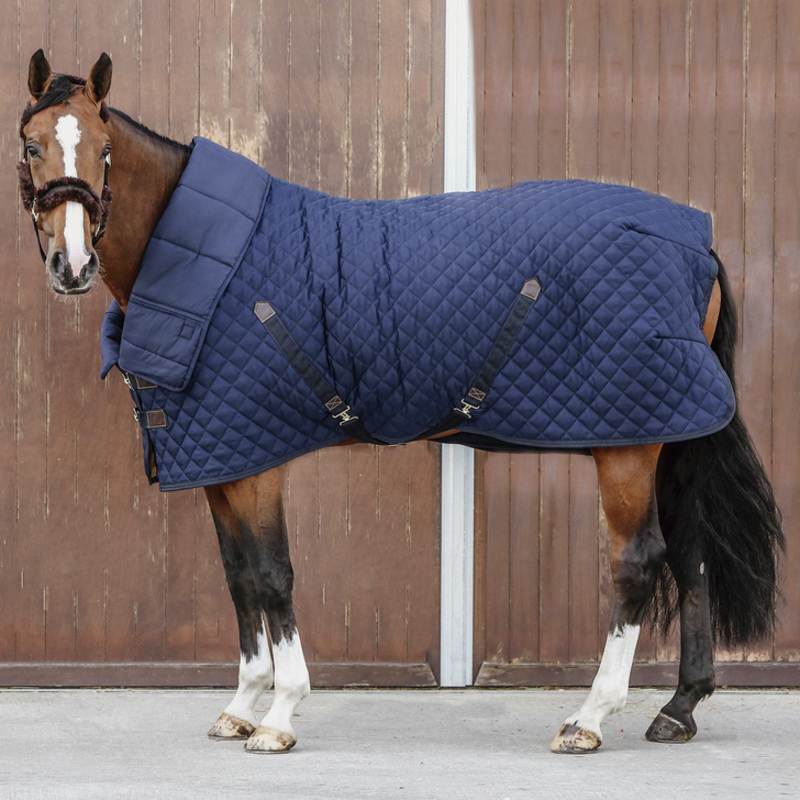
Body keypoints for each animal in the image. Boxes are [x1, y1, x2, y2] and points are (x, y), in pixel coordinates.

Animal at [17, 50, 782, 755]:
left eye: (104, 148)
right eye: (30, 143)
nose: (72, 266)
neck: (209, 265)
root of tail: (697, 244)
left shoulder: (258, 463)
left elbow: (272, 575)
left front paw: (280, 714)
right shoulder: (220, 462)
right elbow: (237, 579)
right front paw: (240, 705)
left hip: (628, 446)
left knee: (639, 561)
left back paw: (590, 718)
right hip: (665, 431)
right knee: (690, 552)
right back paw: (678, 708)